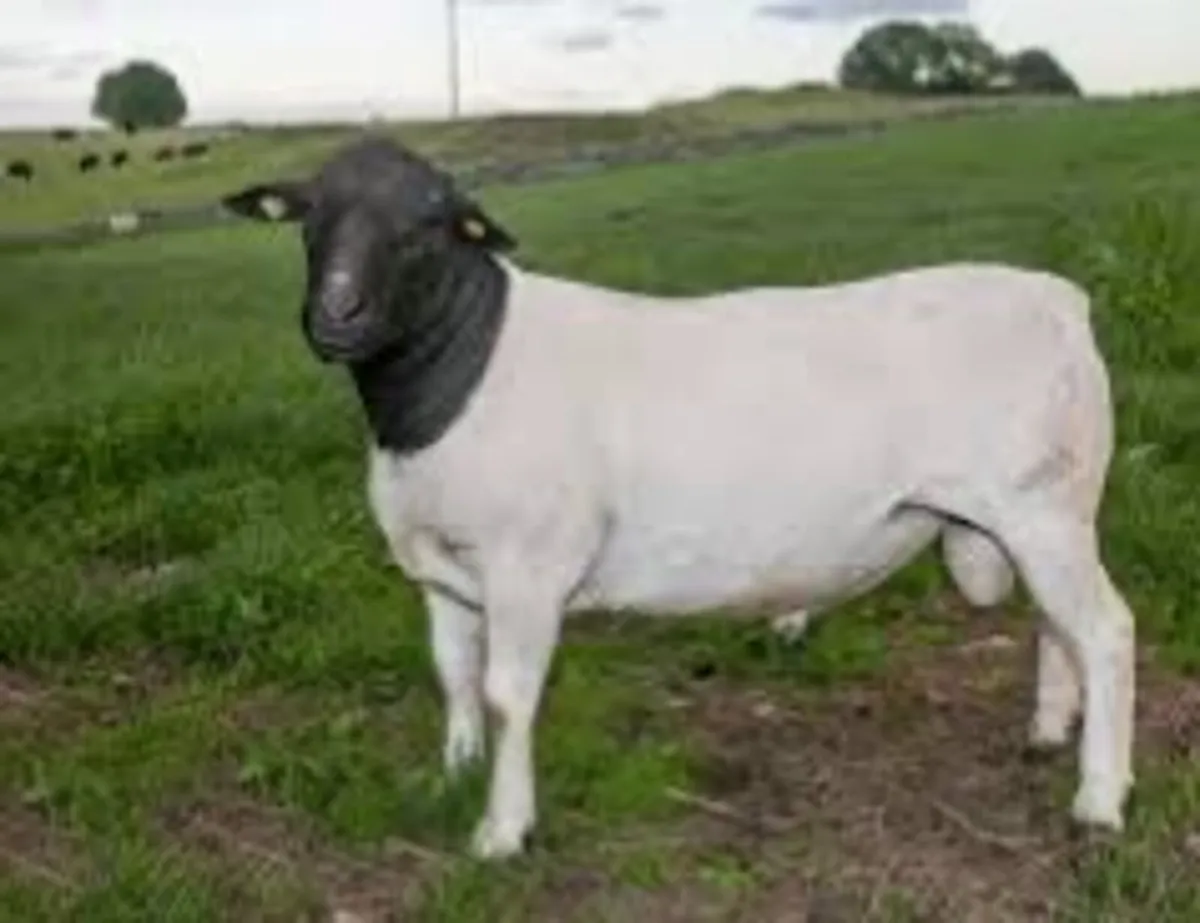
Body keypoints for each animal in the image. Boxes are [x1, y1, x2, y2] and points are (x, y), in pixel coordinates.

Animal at [220, 135, 1136, 860]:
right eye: (309, 217)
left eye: (426, 227)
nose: (335, 316)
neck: (454, 378)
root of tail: (1062, 298)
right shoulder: (442, 568)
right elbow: (454, 674)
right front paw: (454, 774)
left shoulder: (527, 564)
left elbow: (508, 694)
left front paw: (502, 829)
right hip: (1041, 515)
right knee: (1059, 624)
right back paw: (1049, 730)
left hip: (1042, 506)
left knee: (1105, 630)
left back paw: (1099, 800)